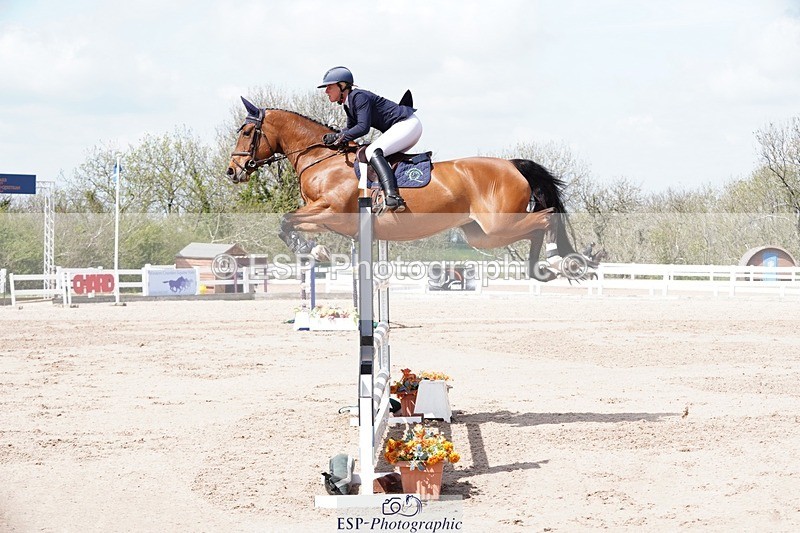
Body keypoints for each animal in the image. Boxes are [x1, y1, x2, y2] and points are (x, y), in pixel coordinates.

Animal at [226, 97, 576, 277]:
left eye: (247, 132)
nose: (232, 171)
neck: (322, 159)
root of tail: (513, 164)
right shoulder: (327, 218)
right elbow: (288, 224)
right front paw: (313, 250)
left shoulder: (331, 211)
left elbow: (285, 220)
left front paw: (312, 250)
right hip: (481, 234)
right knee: (535, 227)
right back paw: (540, 268)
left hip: (498, 224)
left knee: (545, 218)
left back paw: (555, 261)